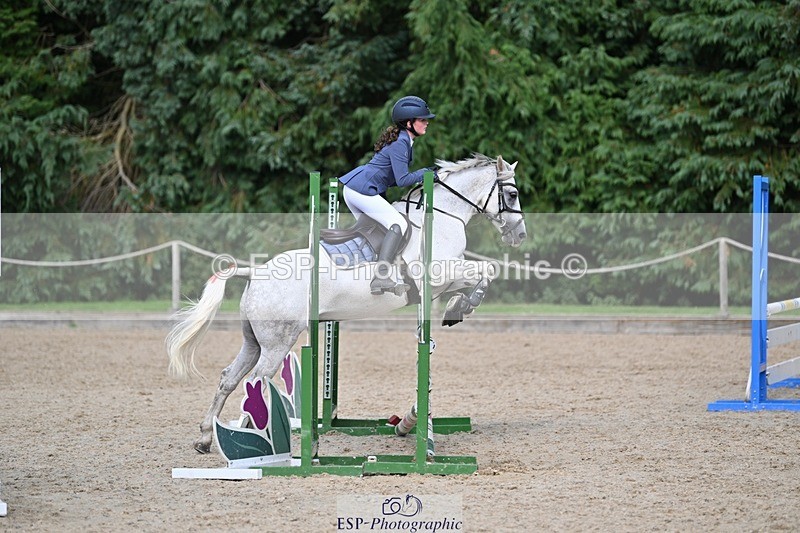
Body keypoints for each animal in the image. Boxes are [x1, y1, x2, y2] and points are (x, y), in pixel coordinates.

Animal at [166, 154, 527, 453]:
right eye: (511, 195)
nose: (520, 235)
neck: (442, 219)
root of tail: (255, 270)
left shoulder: (443, 281)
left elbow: (477, 276)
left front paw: (457, 308)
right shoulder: (440, 273)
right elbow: (487, 270)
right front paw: (464, 306)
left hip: (254, 341)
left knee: (229, 377)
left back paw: (206, 438)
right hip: (277, 343)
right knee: (255, 382)